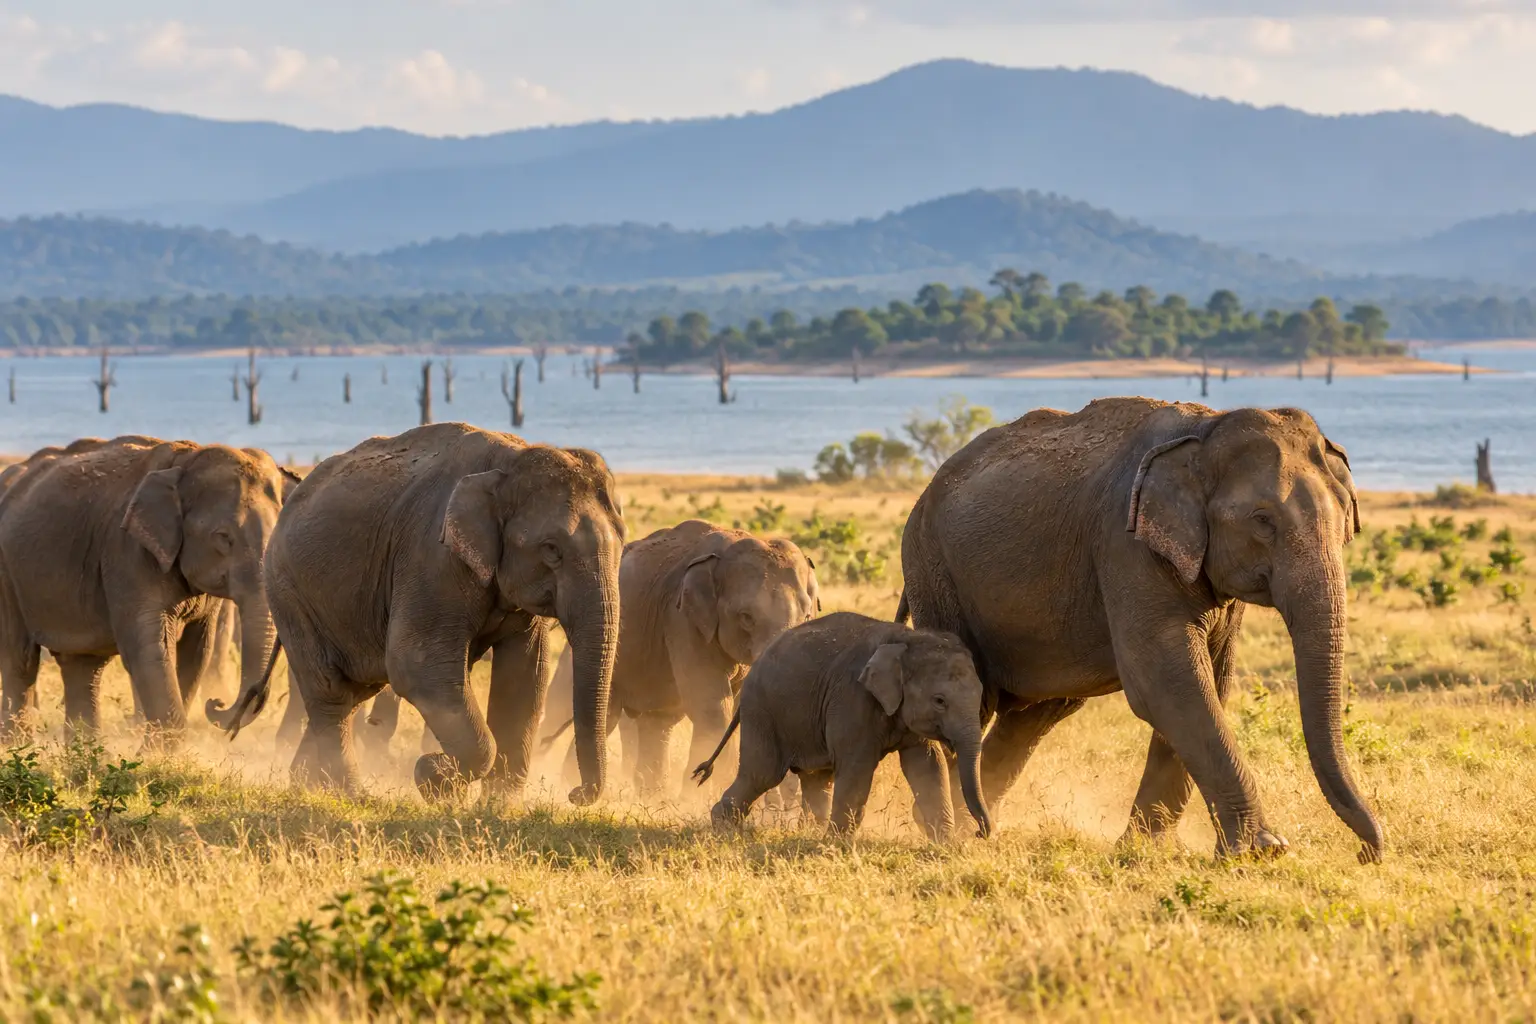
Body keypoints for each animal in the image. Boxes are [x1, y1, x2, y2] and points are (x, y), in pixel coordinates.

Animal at [0, 436, 295, 743]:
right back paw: (18, 745)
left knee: (81, 665)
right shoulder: (126, 553)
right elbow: (150, 648)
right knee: (21, 658)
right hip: (7, 570)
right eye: (223, 537)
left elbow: (197, 649)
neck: (185, 462)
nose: (216, 703)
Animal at [209, 423, 625, 804]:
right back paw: (348, 794)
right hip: (288, 590)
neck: (509, 461)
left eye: (622, 544)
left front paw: (496, 807)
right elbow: (415, 666)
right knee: (331, 691)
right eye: (552, 549)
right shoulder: (430, 557)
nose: (576, 793)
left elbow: (525, 671)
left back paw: (305, 782)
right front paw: (436, 778)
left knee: (352, 690)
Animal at [535, 519, 819, 797]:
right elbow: (711, 705)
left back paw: (652, 796)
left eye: (806, 616)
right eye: (746, 617)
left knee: (656, 722)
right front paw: (698, 797)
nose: (702, 771)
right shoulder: (682, 619)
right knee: (605, 715)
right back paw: (571, 787)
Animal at [694, 612, 991, 840]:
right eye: (940, 701)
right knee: (762, 773)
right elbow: (857, 766)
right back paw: (723, 828)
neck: (905, 639)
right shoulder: (852, 698)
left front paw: (947, 845)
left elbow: (928, 765)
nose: (980, 833)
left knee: (815, 776)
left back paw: (808, 833)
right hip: (763, 710)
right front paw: (838, 846)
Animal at [899, 397, 1382, 862]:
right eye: (1263, 521)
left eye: (1346, 518)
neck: (1206, 430)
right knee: (976, 701)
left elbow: (1208, 682)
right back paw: (947, 828)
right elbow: (1167, 683)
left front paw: (1144, 848)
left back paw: (977, 825)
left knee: (1040, 712)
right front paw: (1263, 851)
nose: (1367, 852)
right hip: (933, 570)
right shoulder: (1125, 544)